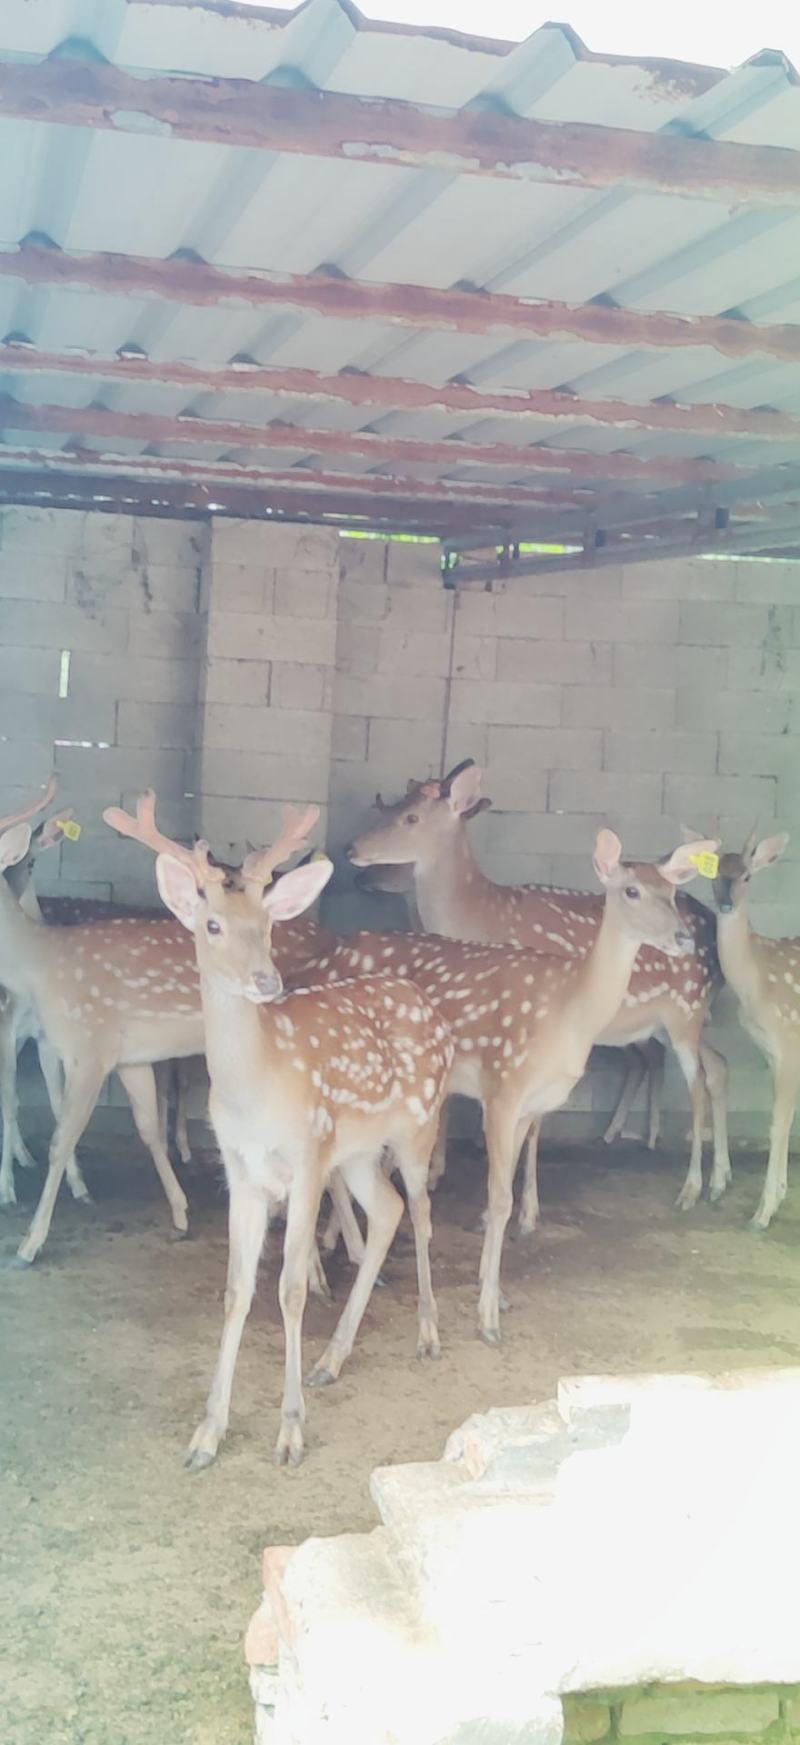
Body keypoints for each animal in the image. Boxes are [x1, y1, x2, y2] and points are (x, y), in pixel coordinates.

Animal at [103, 796, 454, 1468]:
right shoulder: (242, 1173)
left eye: (268, 924)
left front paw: (289, 1432)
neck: (255, 1088)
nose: (267, 981)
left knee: (422, 1213)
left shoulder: (308, 1158)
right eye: (212, 925)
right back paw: (332, 1359)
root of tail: (430, 1008)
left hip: (417, 1126)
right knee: (388, 1211)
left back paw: (428, 1332)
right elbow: (237, 1290)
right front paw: (206, 1434)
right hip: (357, 1153)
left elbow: (290, 1289)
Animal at [284, 829, 718, 1340]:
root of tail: (315, 966)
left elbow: (504, 1193)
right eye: (631, 890)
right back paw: (323, 1274)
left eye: (671, 892)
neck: (568, 1012)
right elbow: (498, 1196)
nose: (682, 937)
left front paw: (495, 1293)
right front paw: (488, 1313)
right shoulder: (502, 1089)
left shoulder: (529, 1106)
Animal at [348, 759, 731, 1220]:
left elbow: (533, 1123)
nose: (352, 850)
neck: (479, 915)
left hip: (686, 1009)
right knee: (718, 1067)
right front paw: (445, 1174)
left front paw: (526, 1206)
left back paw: (693, 1187)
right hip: (675, 1019)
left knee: (697, 1081)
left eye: (410, 817)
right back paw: (715, 1176)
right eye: (390, 805)